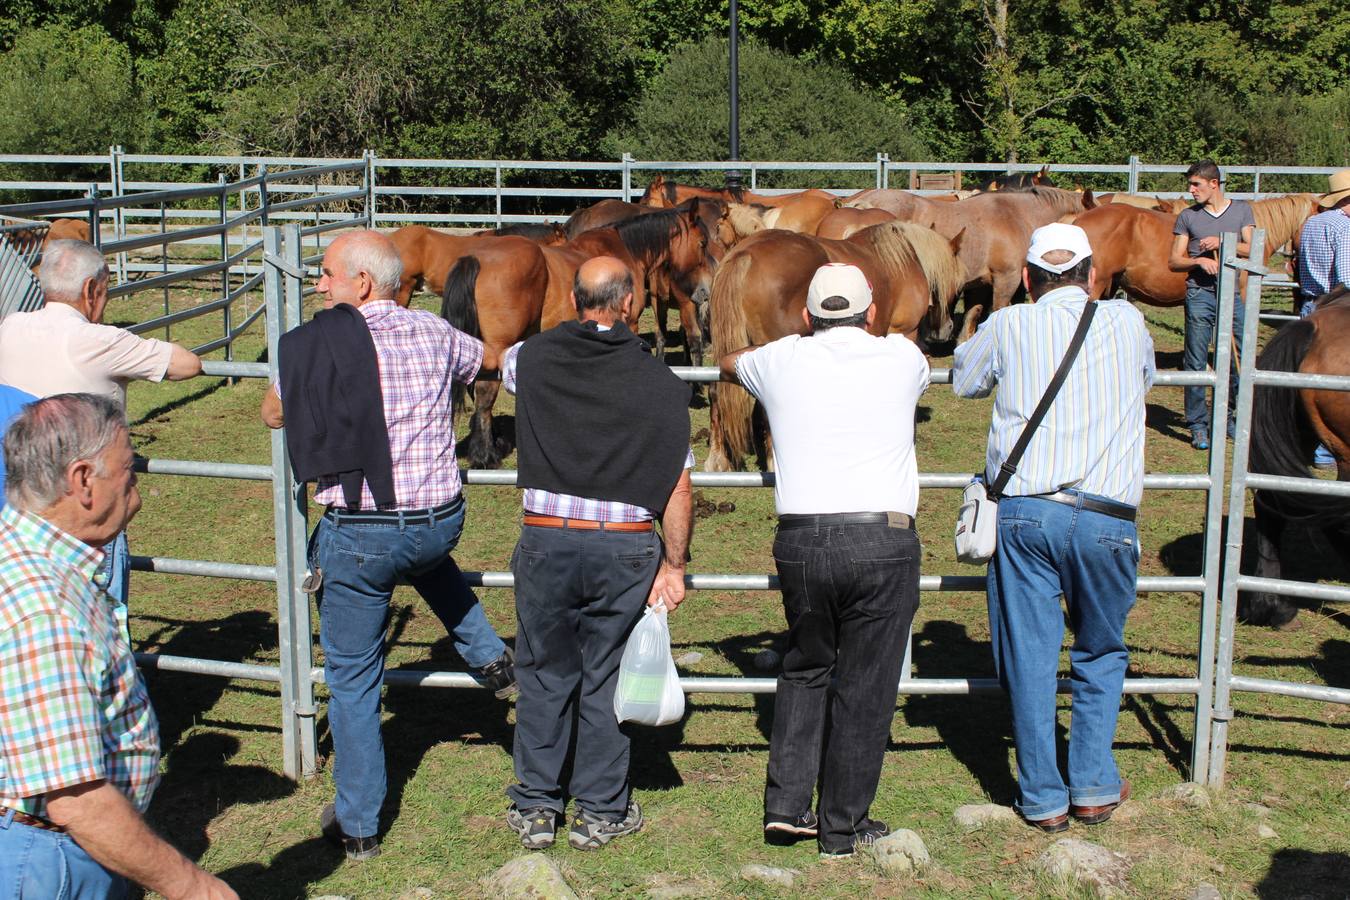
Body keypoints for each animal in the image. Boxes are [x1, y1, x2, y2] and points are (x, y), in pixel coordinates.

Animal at [445, 206, 718, 469]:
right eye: (702, 243)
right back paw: (485, 455)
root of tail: (477, 259)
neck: (625, 250)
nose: (706, 290)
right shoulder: (628, 324)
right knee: (484, 392)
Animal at [702, 221, 966, 472]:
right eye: (960, 285)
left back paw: (717, 458)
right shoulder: (903, 333)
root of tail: (745, 253)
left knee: (716, 390)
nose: (946, 330)